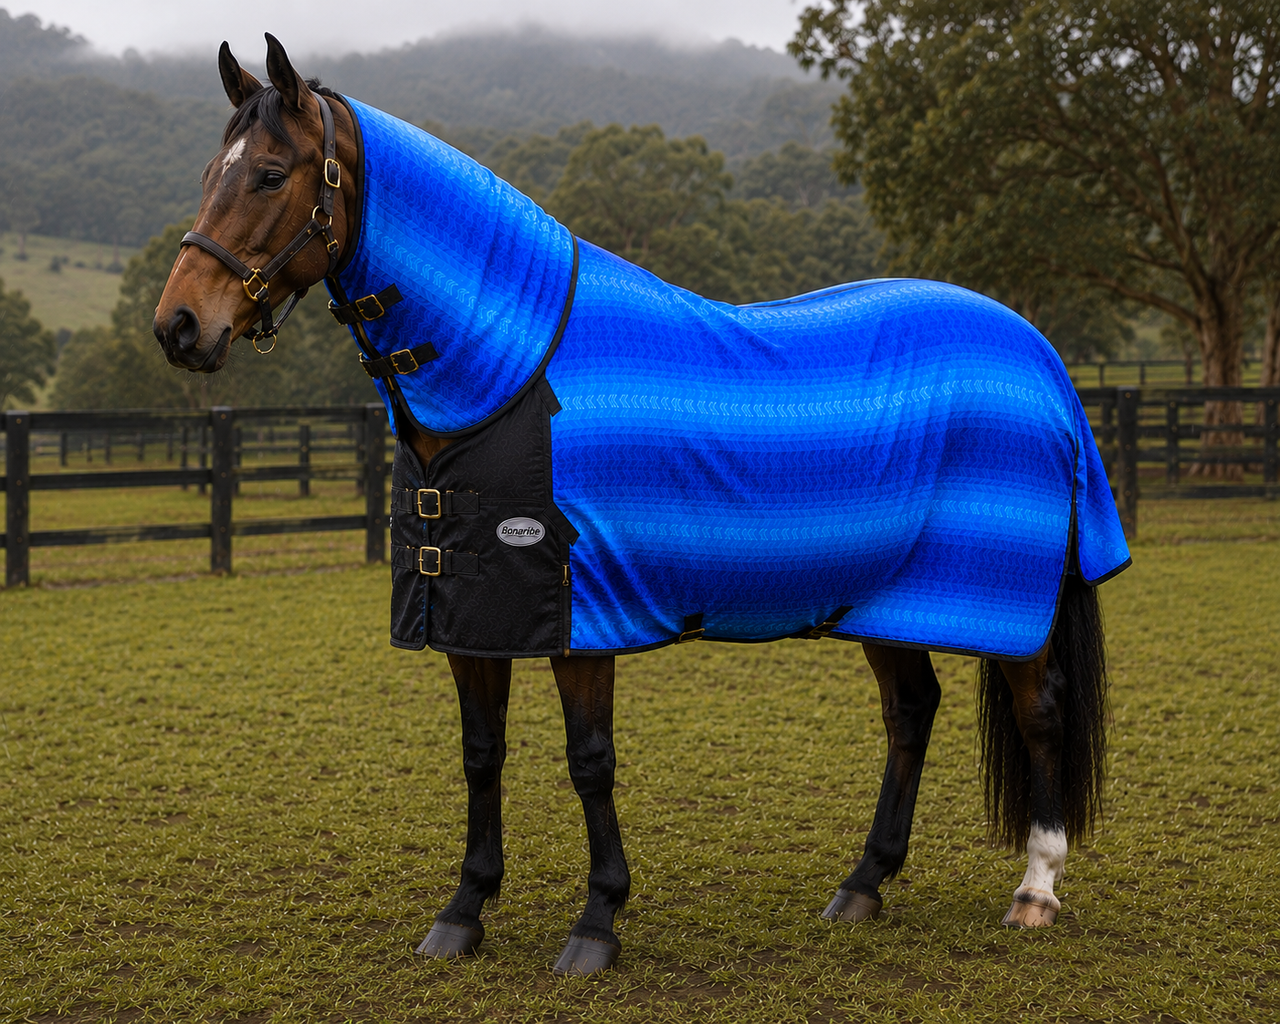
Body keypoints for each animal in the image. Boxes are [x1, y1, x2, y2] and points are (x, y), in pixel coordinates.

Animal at [153, 35, 1130, 976]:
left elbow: (590, 764)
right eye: (205, 173)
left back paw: (1035, 889)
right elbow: (481, 757)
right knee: (912, 713)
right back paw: (863, 885)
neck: (509, 373)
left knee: (1040, 711)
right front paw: (463, 913)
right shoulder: (472, 620)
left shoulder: (581, 620)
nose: (179, 326)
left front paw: (597, 924)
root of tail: (1040, 355)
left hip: (1006, 604)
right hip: (884, 596)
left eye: (269, 174)